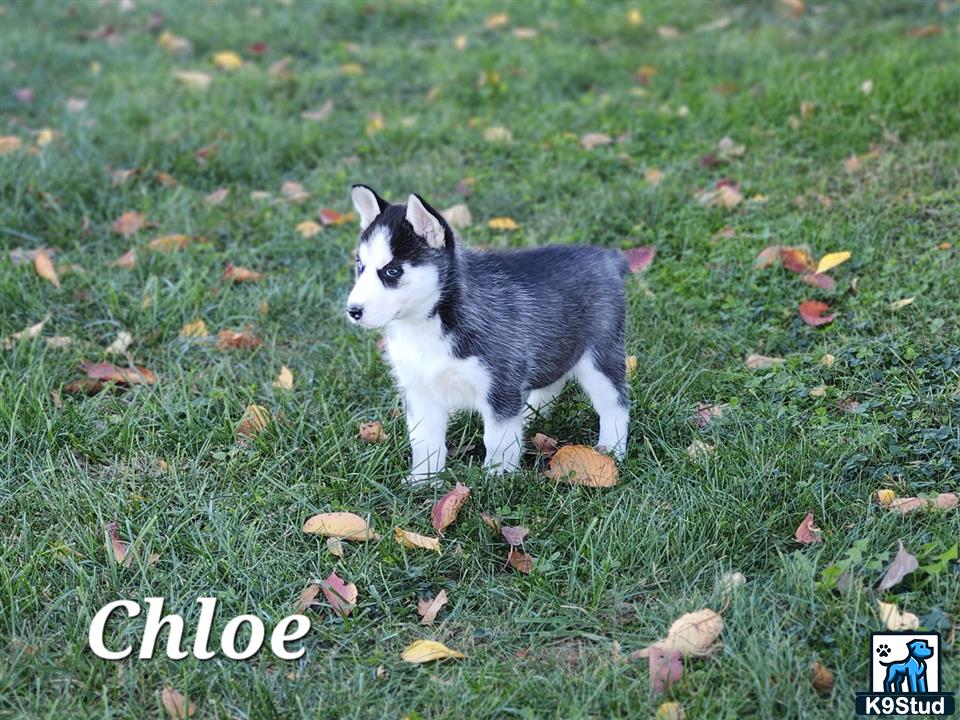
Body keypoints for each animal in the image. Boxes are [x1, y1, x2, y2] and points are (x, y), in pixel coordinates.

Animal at [344, 186, 632, 484]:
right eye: (360, 264)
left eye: (392, 270)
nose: (353, 311)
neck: (428, 325)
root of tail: (604, 257)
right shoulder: (419, 390)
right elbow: (425, 441)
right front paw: (423, 481)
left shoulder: (500, 384)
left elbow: (497, 439)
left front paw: (497, 478)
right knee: (552, 382)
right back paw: (528, 417)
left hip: (600, 356)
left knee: (616, 404)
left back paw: (612, 450)